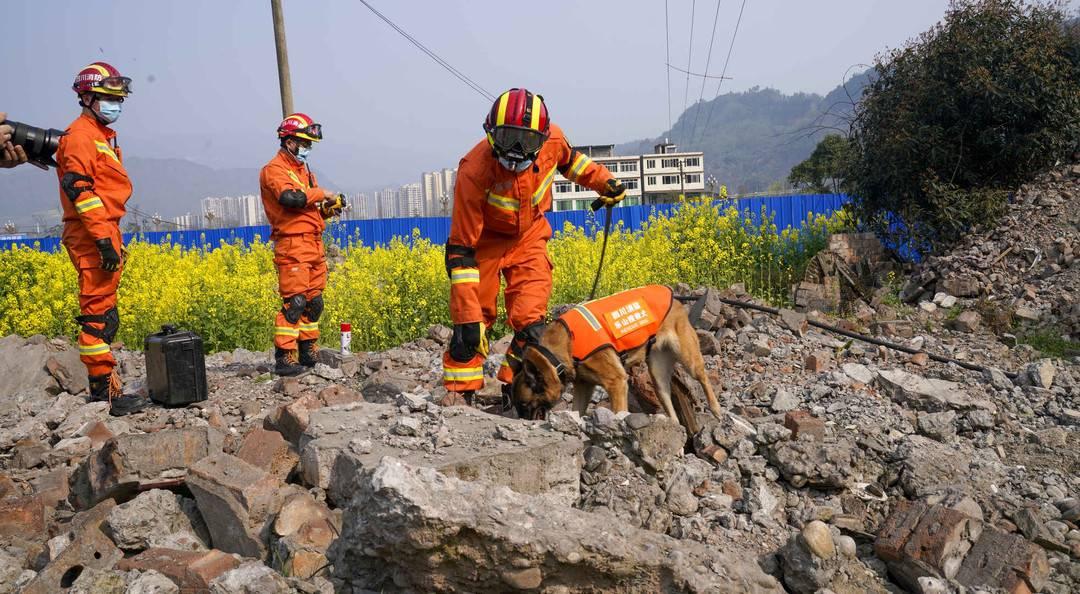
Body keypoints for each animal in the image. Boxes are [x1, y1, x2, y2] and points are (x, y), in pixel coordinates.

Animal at [509, 287, 721, 421]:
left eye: (524, 405)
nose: (524, 421)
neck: (561, 351)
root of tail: (675, 300)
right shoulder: (583, 386)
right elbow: (577, 409)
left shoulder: (616, 383)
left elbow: (619, 411)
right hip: (658, 376)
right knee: (668, 400)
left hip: (689, 360)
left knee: (703, 377)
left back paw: (716, 409)